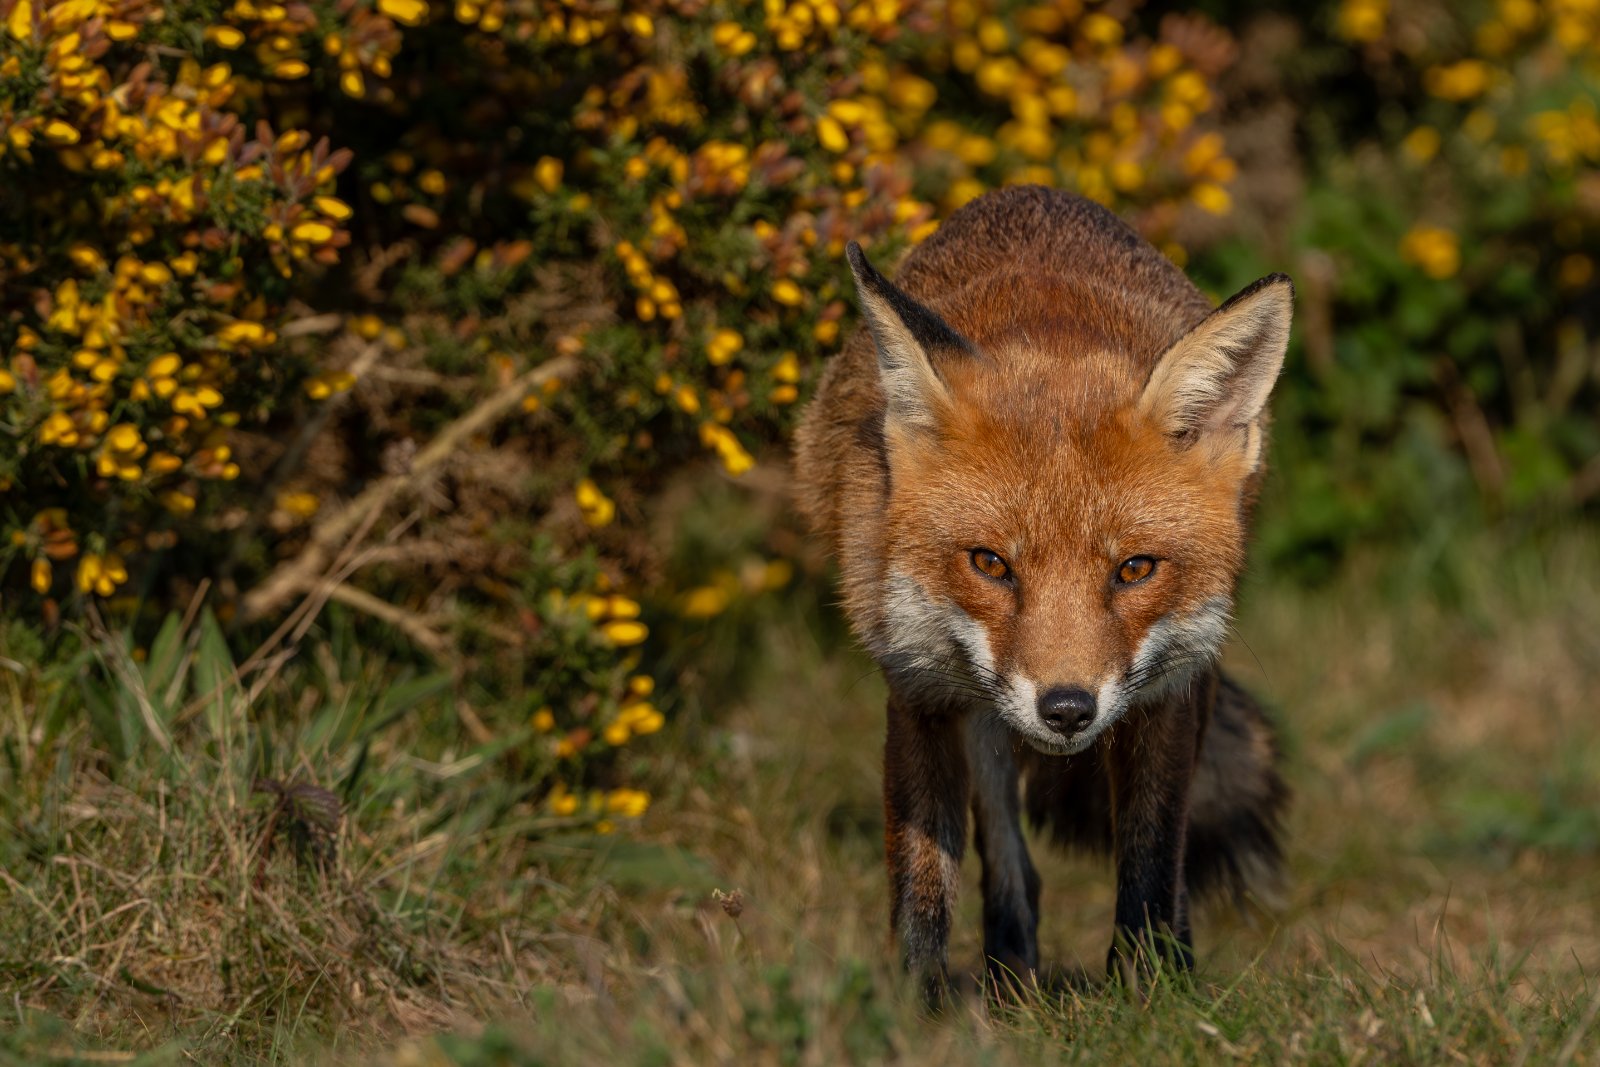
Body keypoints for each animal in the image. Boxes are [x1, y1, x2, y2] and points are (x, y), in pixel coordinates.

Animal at [793, 185, 1291, 994]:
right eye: (991, 563)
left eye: (1135, 569)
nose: (1066, 709)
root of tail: (1036, 193)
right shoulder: (918, 687)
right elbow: (922, 882)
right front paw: (915, 1005)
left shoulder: (1168, 694)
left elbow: (1152, 860)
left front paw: (1151, 989)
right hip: (981, 714)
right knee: (1009, 852)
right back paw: (1010, 969)